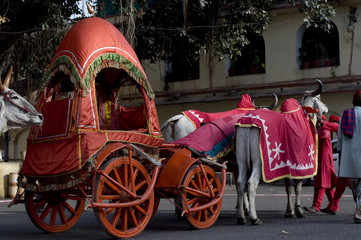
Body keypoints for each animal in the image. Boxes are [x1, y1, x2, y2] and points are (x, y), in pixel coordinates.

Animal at [235, 80, 328, 225]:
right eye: (319, 98)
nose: (325, 109)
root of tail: (249, 121)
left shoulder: (286, 167)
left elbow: (288, 188)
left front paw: (289, 211)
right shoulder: (301, 164)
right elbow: (297, 187)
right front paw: (298, 211)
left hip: (242, 161)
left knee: (240, 184)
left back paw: (241, 216)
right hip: (258, 163)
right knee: (251, 184)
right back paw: (254, 217)